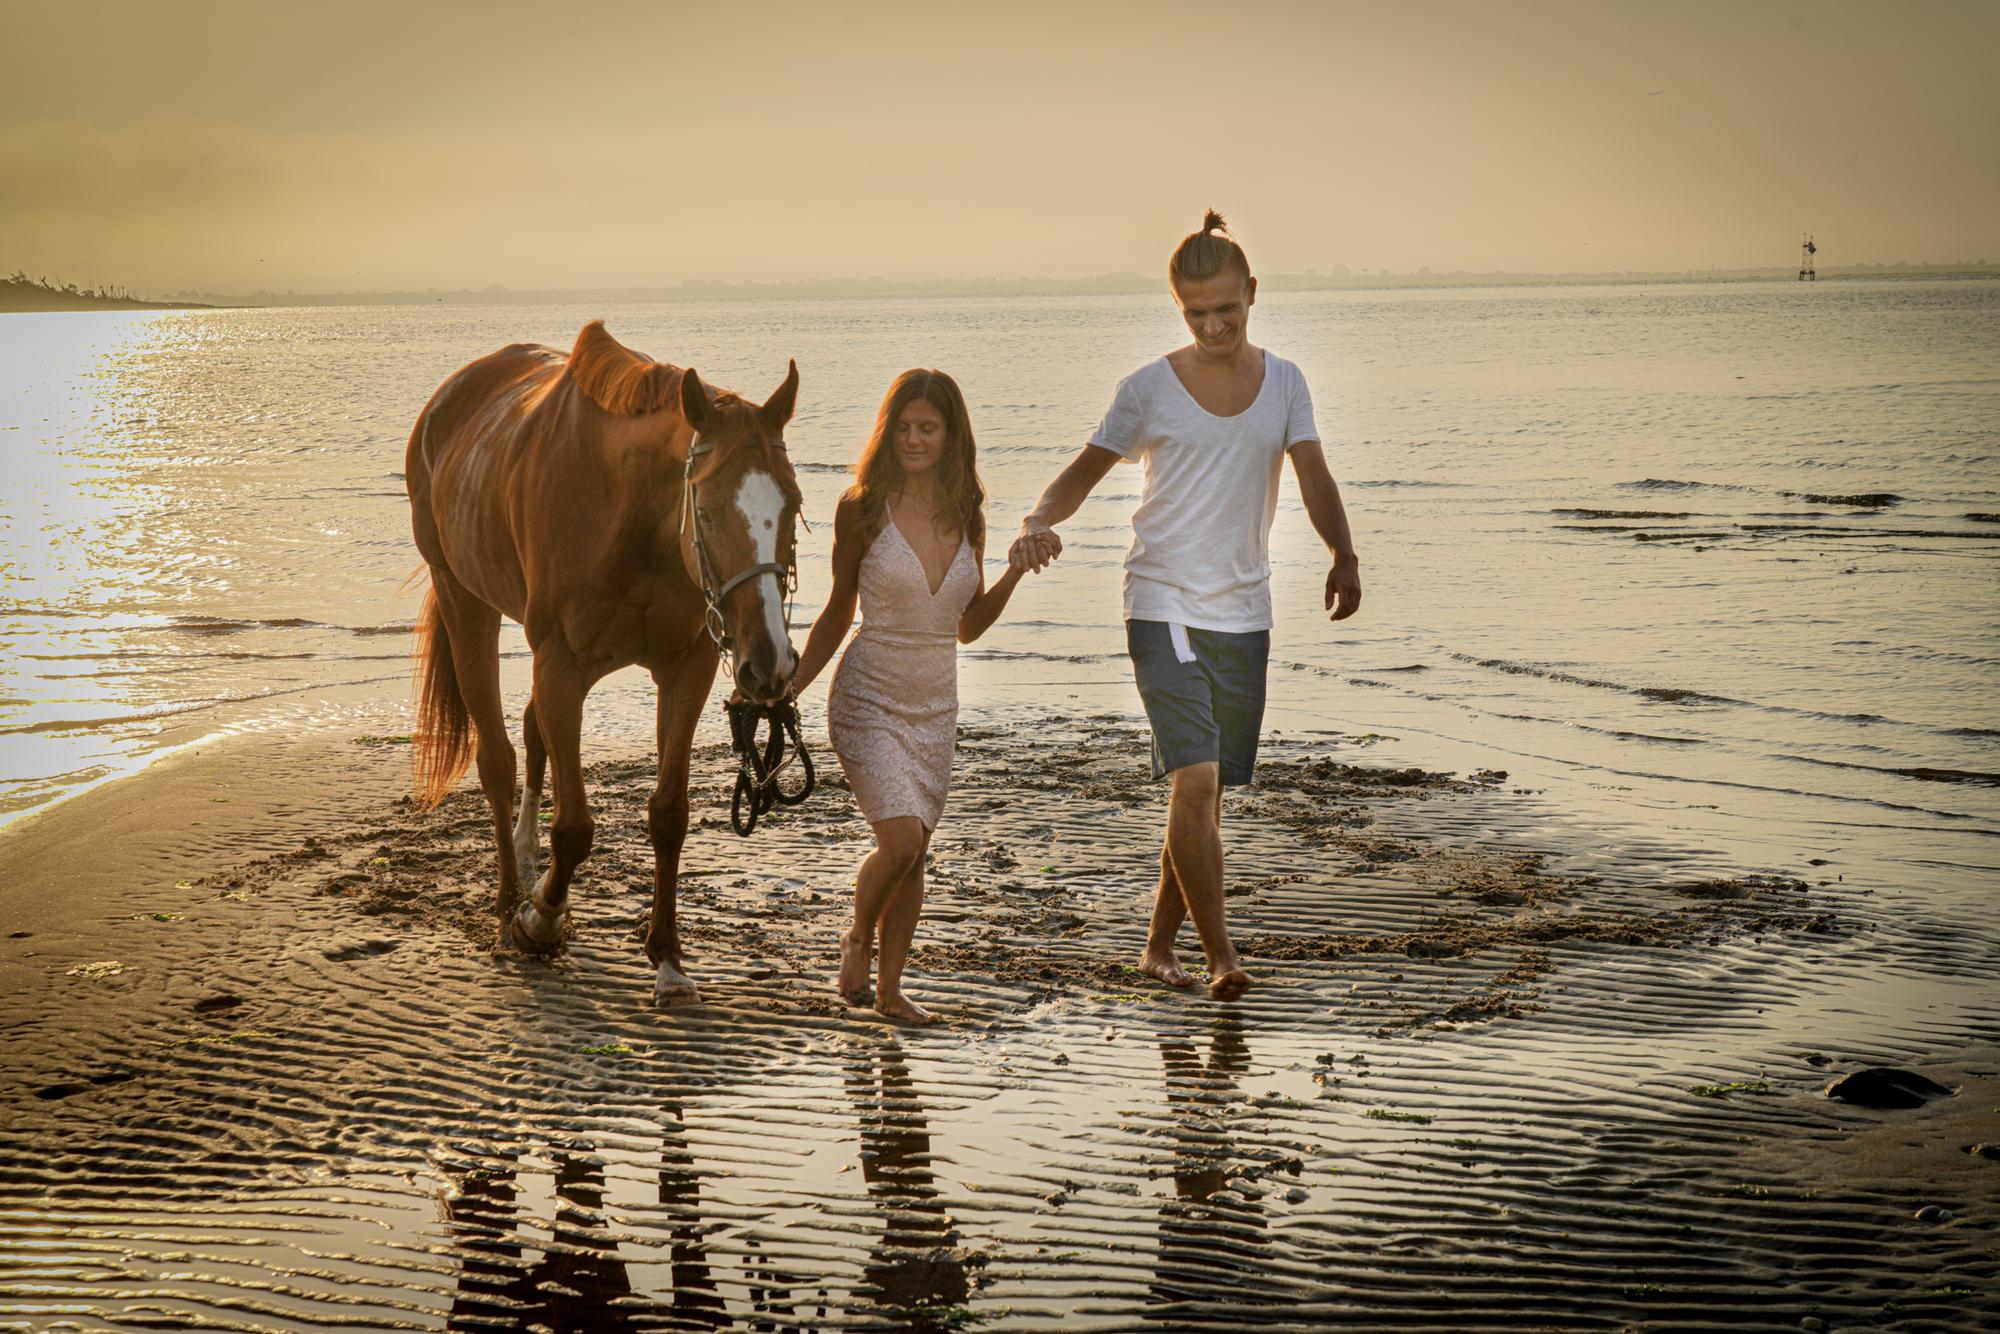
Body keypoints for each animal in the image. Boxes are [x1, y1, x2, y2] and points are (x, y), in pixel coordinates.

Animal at [406, 324, 804, 1008]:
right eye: (707, 508)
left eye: (795, 502)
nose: (769, 664)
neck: (635, 518)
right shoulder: (562, 668)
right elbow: (573, 828)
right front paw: (539, 920)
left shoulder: (686, 670)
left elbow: (668, 815)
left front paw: (667, 958)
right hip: (463, 600)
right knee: (497, 760)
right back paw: (510, 902)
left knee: (532, 732)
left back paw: (526, 861)